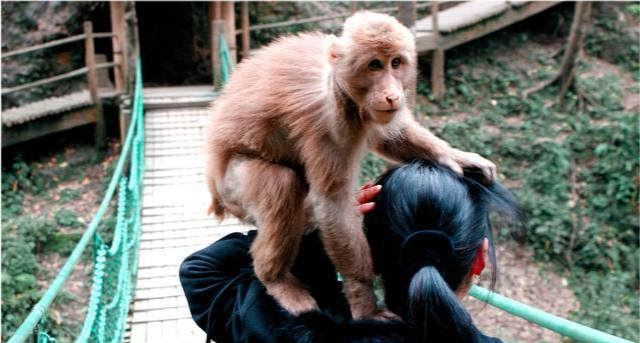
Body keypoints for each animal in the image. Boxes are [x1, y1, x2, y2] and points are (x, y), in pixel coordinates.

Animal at [205, 11, 496, 322]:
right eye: (374, 65)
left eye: (396, 63)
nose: (392, 95)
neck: (342, 90)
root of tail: (215, 191)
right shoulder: (328, 122)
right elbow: (332, 204)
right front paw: (365, 301)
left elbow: (389, 136)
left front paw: (454, 156)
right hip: (233, 189)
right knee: (281, 184)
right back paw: (275, 278)